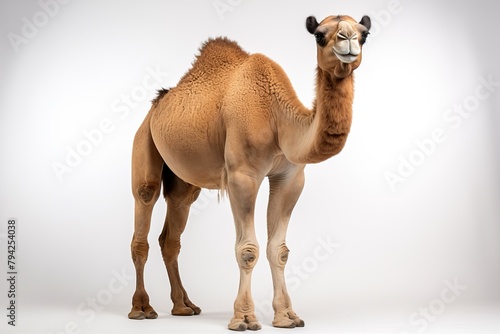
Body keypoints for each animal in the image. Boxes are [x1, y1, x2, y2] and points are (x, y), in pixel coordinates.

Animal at [129, 13, 372, 332]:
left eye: (365, 33)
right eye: (320, 35)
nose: (348, 40)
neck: (278, 119)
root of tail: (155, 107)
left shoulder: (290, 178)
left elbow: (278, 249)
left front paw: (287, 316)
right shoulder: (241, 176)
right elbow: (247, 250)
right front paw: (244, 318)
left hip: (184, 181)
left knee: (172, 232)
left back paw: (184, 306)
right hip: (144, 141)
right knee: (143, 212)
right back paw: (141, 308)